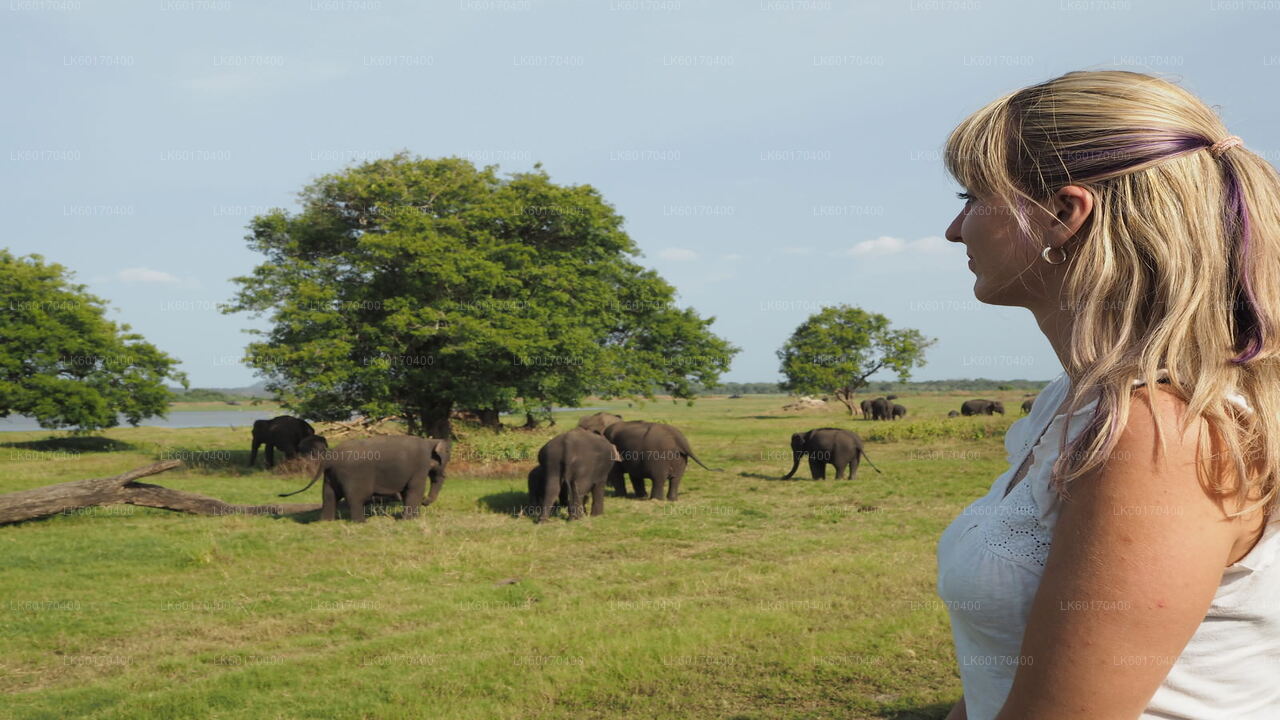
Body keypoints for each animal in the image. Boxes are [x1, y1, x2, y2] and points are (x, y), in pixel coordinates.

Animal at [278, 434, 450, 522]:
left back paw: (326, 522)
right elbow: (415, 489)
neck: (430, 441)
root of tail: (329, 458)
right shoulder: (419, 466)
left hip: (329, 476)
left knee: (329, 497)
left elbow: (407, 491)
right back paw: (361, 522)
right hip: (353, 475)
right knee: (356, 497)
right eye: (445, 461)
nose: (426, 501)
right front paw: (410, 520)